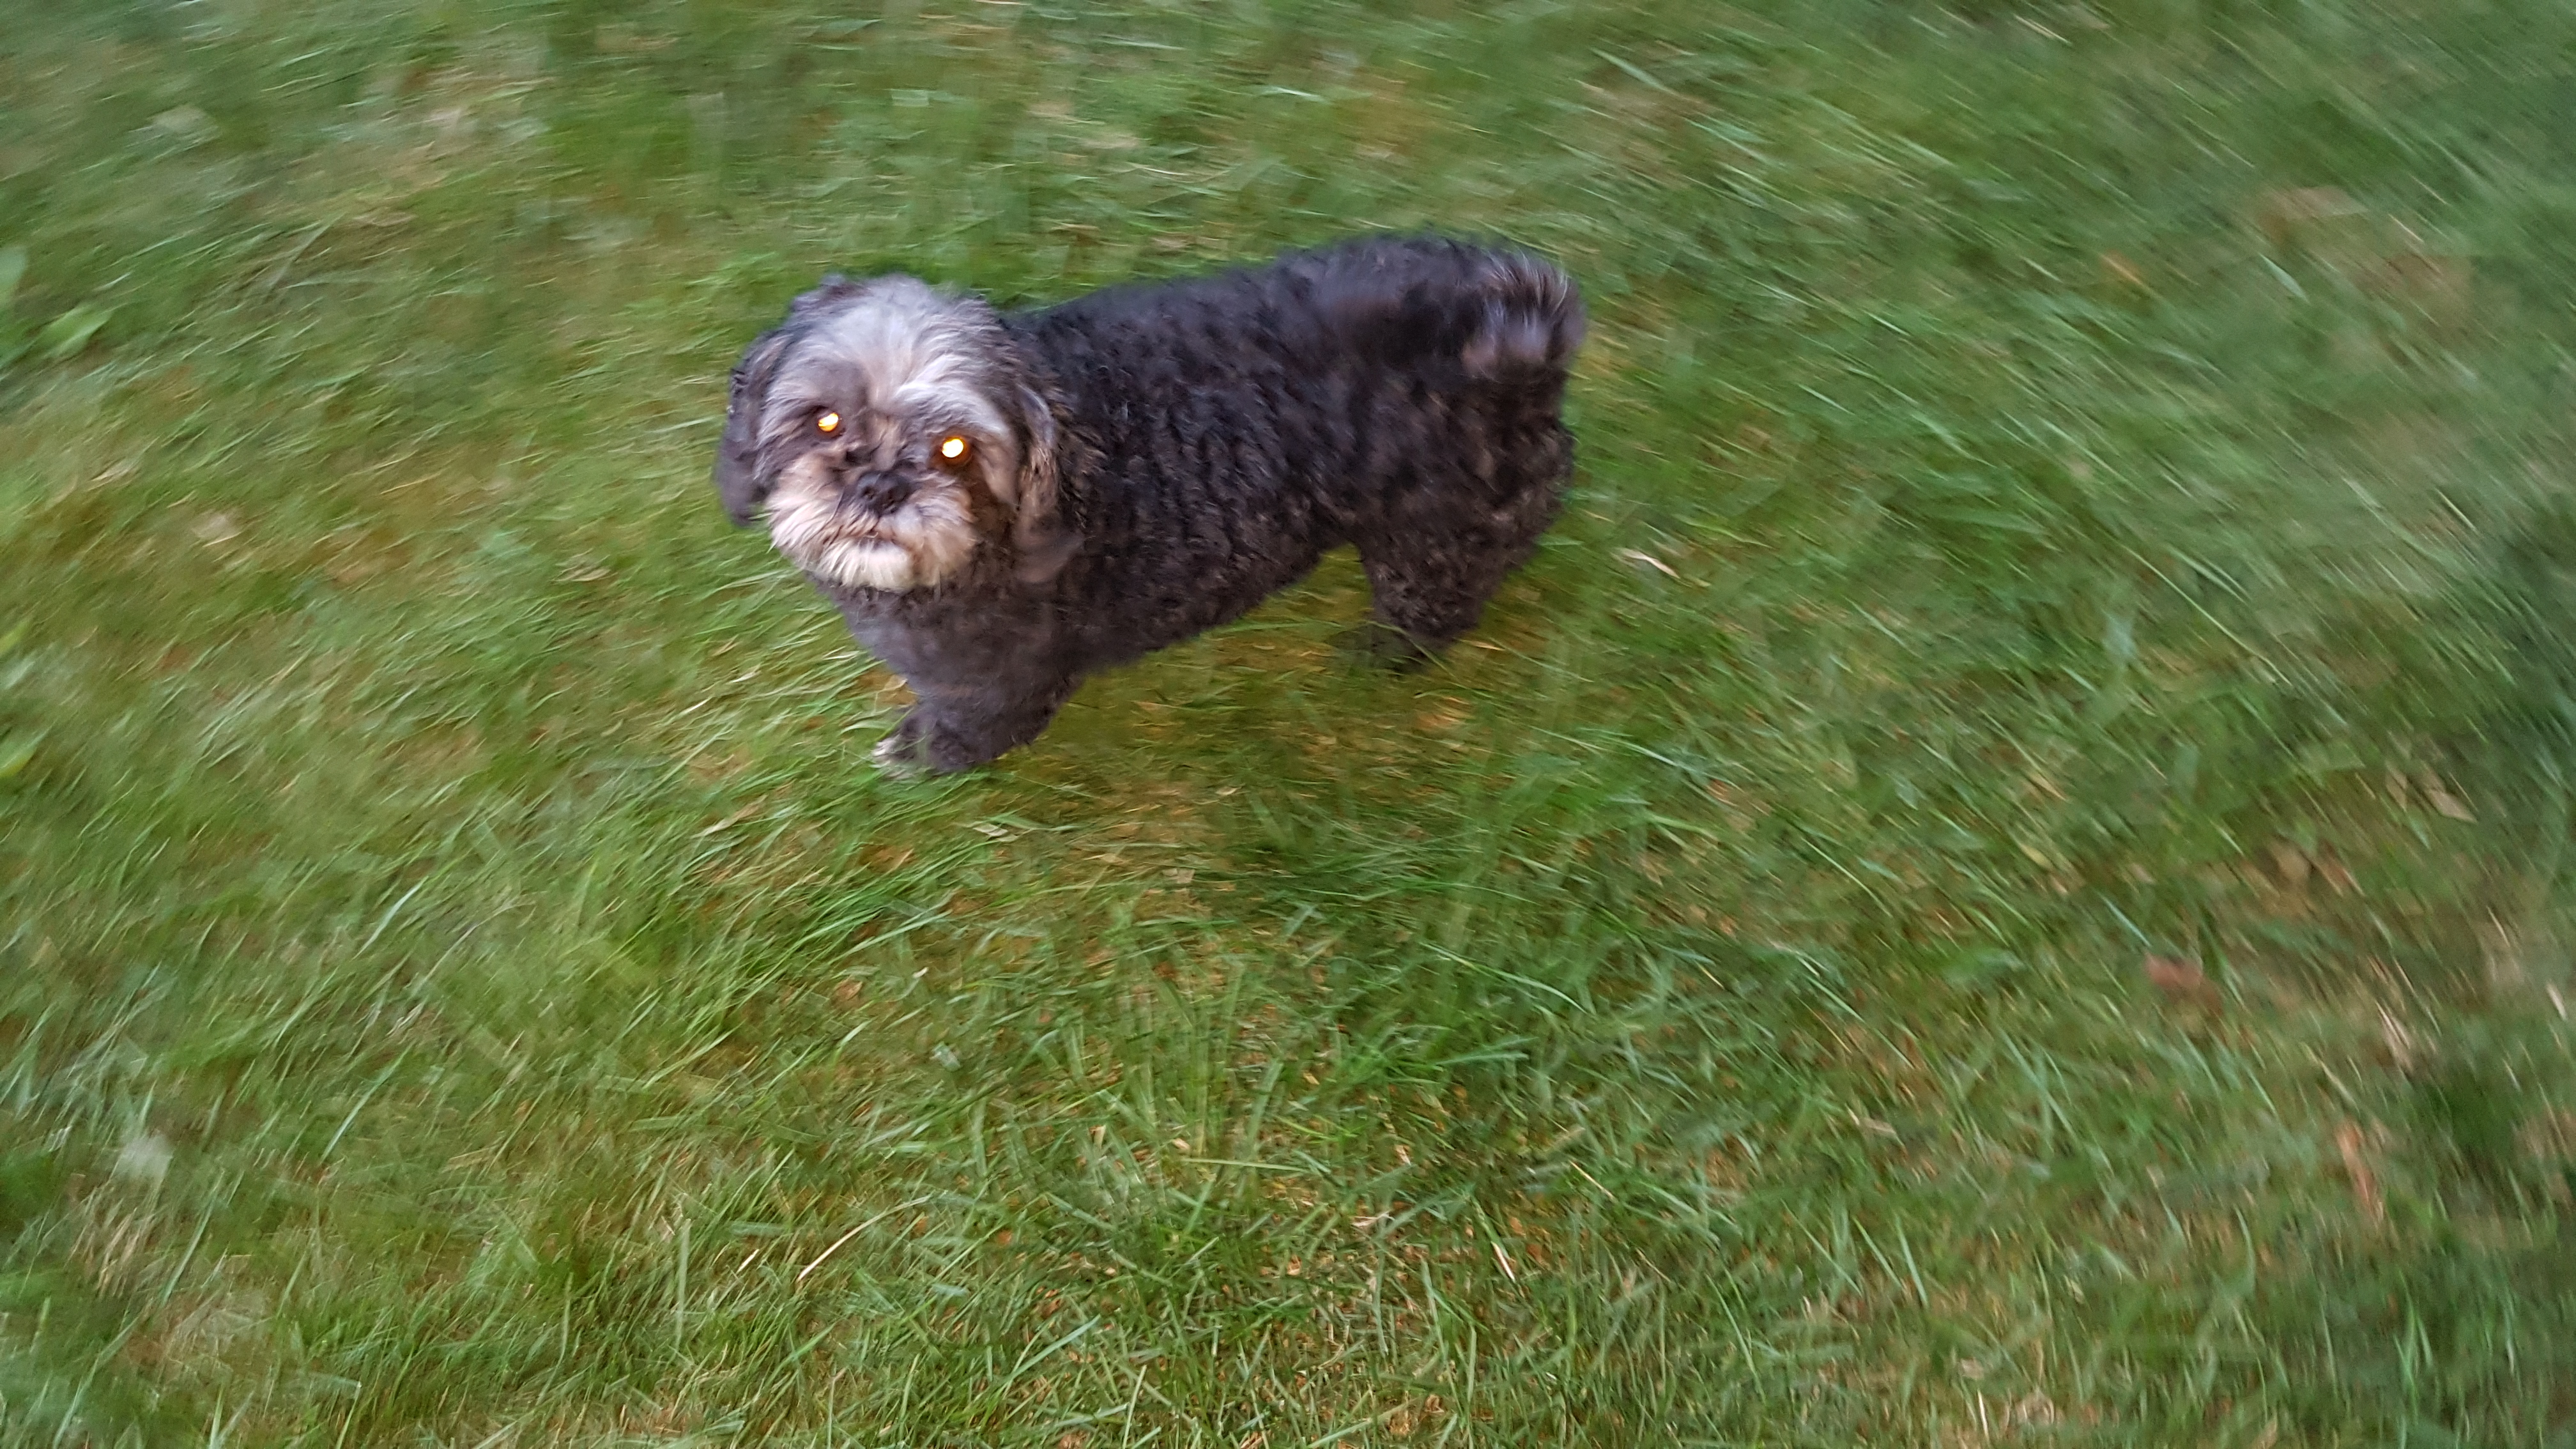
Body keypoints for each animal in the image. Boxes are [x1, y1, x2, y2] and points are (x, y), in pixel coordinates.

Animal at [714, 234, 1584, 774]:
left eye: (956, 450)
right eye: (825, 421)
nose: (881, 486)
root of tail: (1520, 347)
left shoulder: (992, 682)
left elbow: (973, 728)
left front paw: (927, 754)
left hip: (1436, 540)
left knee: (1436, 608)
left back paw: (1385, 653)